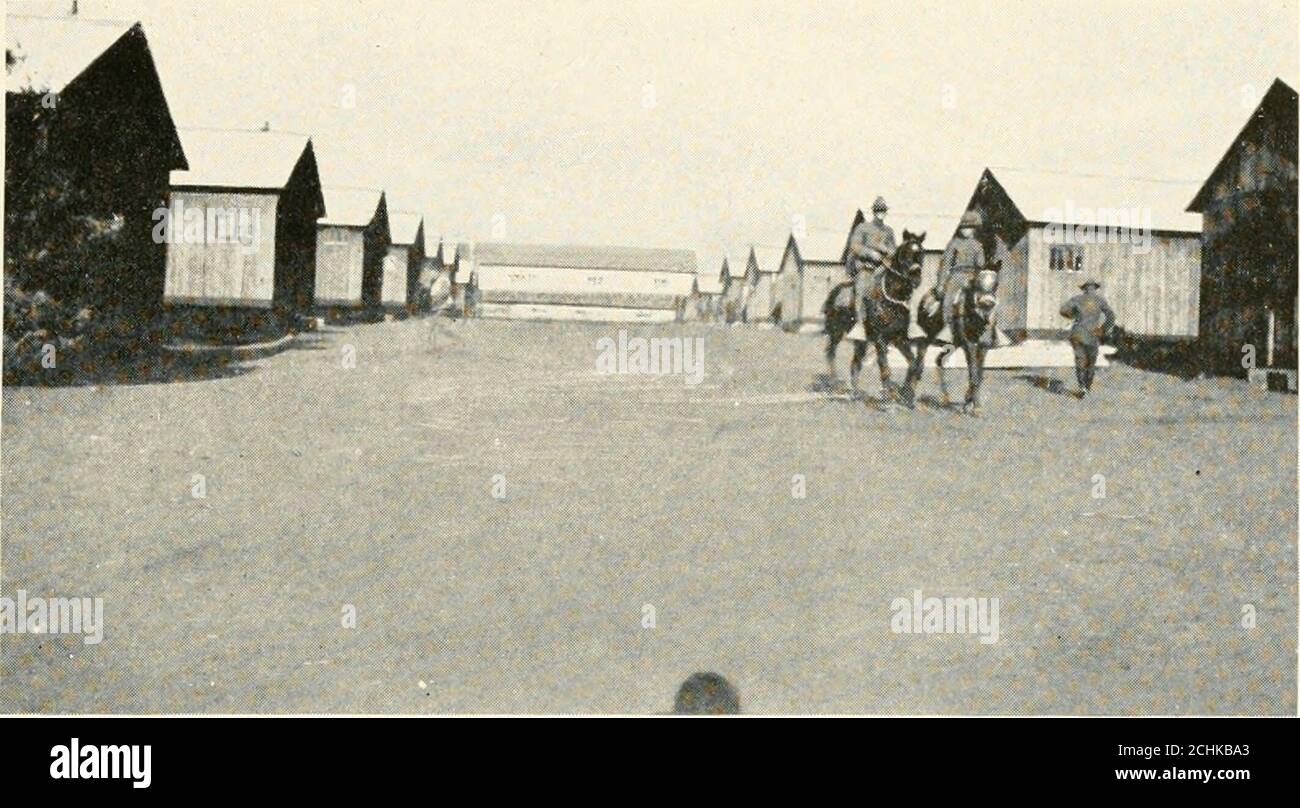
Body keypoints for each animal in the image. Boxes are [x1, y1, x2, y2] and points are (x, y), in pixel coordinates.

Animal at [826, 232, 930, 410]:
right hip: (836, 333)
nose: (916, 277)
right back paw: (834, 385)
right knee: (831, 353)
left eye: (921, 253)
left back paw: (855, 393)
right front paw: (889, 398)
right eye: (904, 253)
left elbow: (913, 363)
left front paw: (907, 395)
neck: (891, 300)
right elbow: (885, 368)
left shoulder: (899, 339)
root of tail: (836, 292)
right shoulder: (880, 339)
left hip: (861, 342)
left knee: (855, 363)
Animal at [915, 266, 1003, 415]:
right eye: (977, 283)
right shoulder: (969, 345)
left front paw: (969, 403)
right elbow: (973, 373)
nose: (988, 303)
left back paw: (945, 399)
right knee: (921, 355)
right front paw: (975, 407)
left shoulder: (983, 346)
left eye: (996, 284)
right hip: (929, 337)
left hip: (953, 344)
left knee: (939, 360)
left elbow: (979, 374)